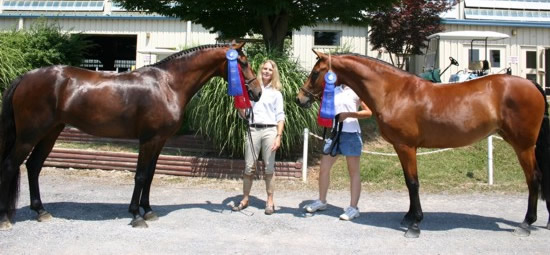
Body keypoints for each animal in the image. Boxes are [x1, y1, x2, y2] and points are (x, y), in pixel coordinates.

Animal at [0, 41, 264, 229]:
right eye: (242, 63)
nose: (257, 92)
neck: (168, 84)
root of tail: (25, 77)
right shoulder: (148, 140)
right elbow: (140, 176)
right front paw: (137, 215)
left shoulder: (159, 141)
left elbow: (150, 176)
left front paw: (148, 210)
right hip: (28, 135)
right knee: (11, 165)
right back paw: (5, 218)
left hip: (50, 132)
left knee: (33, 166)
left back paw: (41, 211)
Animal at [298, 50, 550, 238]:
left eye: (316, 72)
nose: (300, 98)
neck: (394, 92)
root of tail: (533, 86)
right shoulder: (401, 148)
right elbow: (409, 182)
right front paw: (409, 216)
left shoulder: (407, 147)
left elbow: (413, 183)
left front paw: (415, 224)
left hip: (523, 146)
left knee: (534, 178)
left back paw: (526, 223)